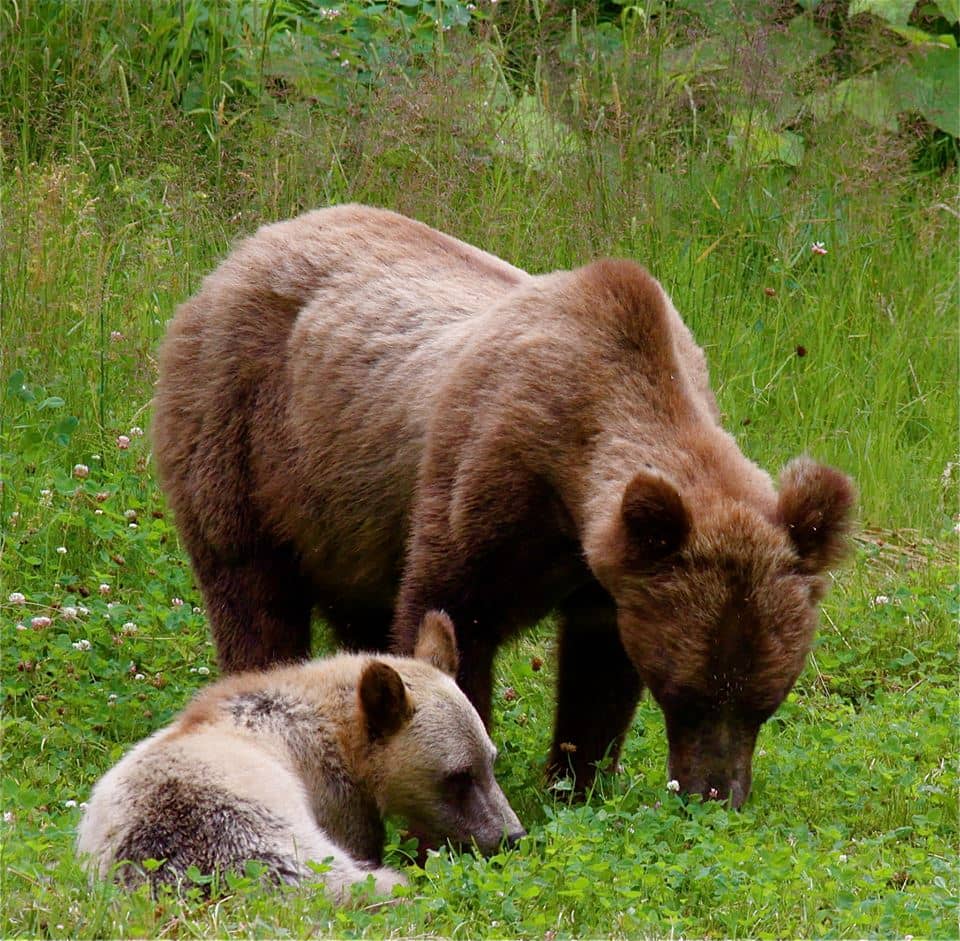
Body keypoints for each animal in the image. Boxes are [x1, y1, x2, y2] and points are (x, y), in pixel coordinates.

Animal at [154, 206, 860, 808]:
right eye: (685, 695)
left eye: (766, 699)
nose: (715, 795)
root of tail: (245, 248)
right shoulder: (490, 475)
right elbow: (453, 614)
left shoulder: (606, 575)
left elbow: (597, 674)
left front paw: (577, 784)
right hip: (246, 432)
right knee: (251, 591)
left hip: (345, 518)